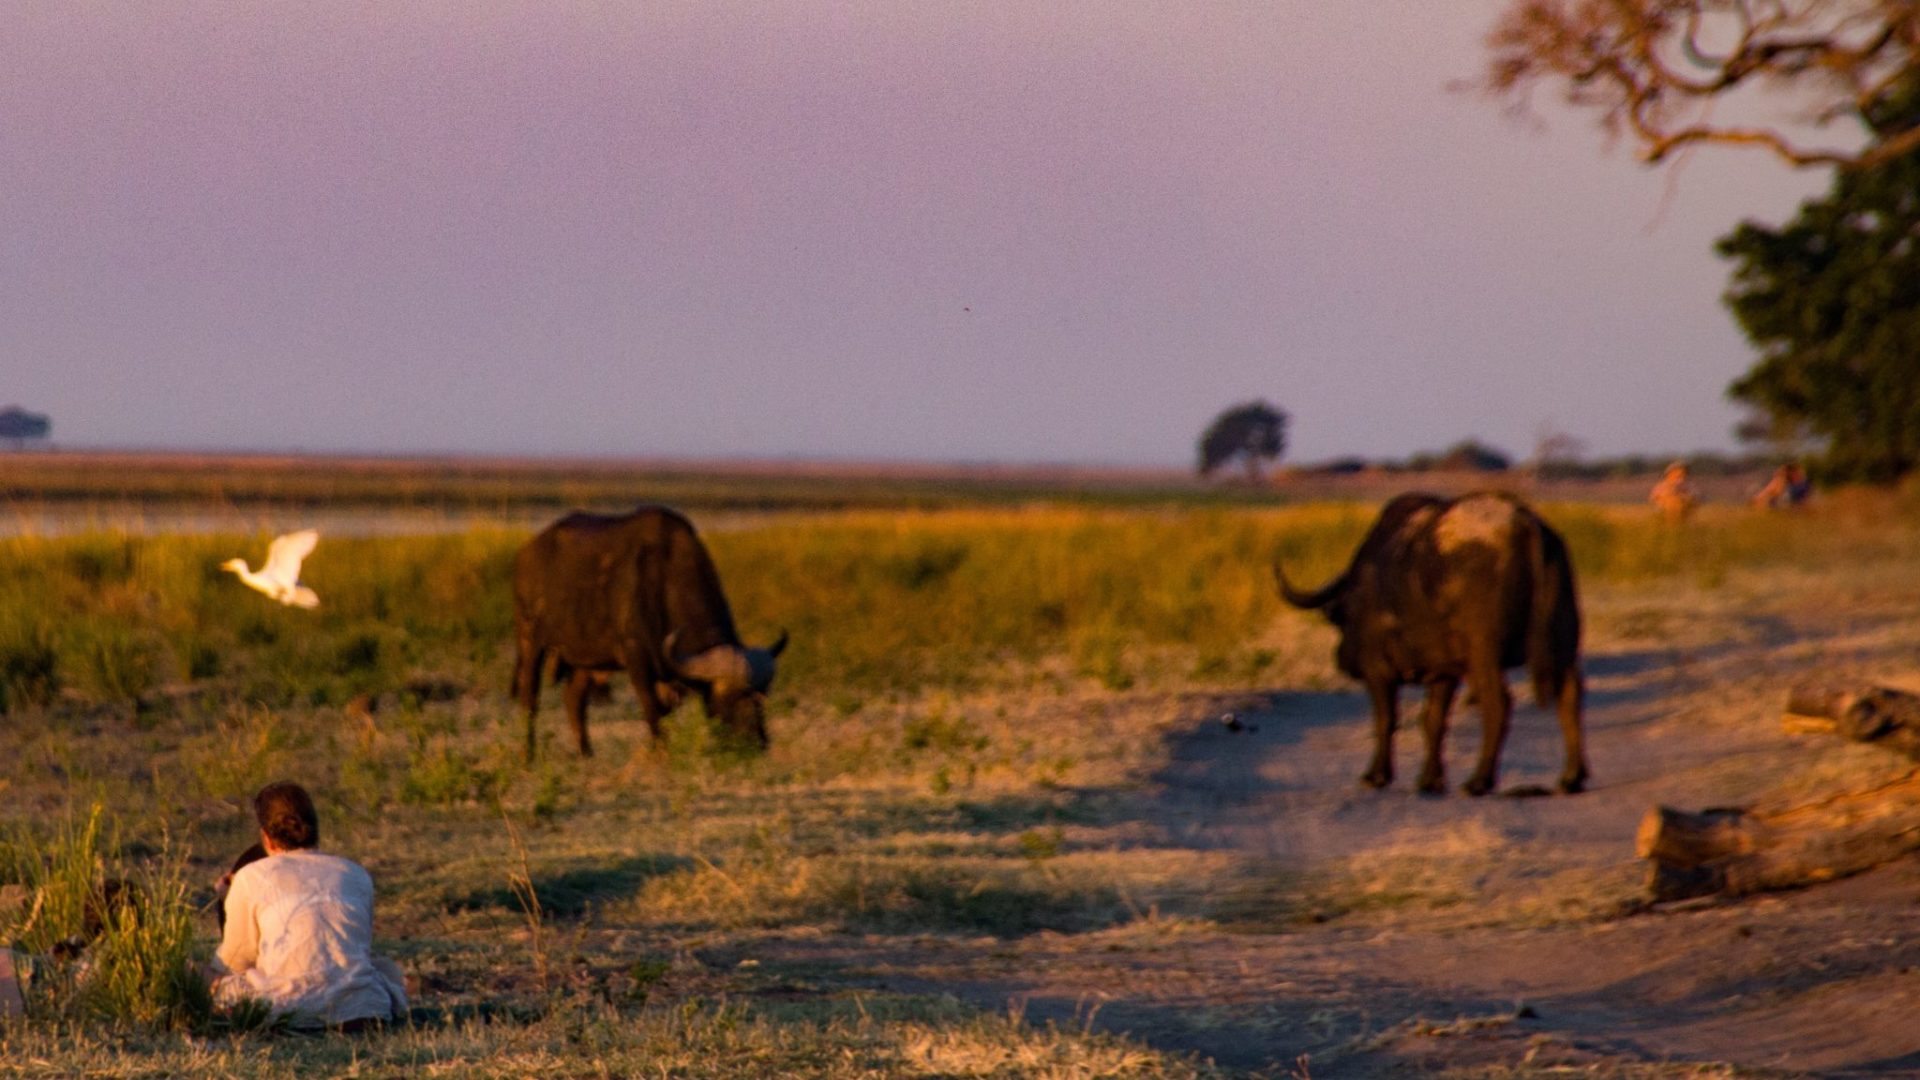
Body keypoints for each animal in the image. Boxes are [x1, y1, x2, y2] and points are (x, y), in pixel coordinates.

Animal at [511, 507, 787, 757]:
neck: (664, 580)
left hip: (587, 658)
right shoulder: (636, 657)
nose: (757, 743)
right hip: (530, 639)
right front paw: (659, 753)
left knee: (573, 699)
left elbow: (666, 710)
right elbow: (652, 708)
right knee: (529, 699)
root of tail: (526, 553)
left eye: (763, 696)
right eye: (730, 695)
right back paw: (528, 755)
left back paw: (585, 753)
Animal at [1274, 492, 1588, 796]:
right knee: (1570, 696)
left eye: (1340, 618)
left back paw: (1478, 781)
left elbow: (1386, 718)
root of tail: (1526, 526)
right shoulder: (1444, 673)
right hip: (1563, 646)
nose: (1342, 660)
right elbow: (1434, 721)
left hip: (1484, 655)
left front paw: (1376, 776)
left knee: (1498, 703)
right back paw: (1571, 778)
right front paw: (1430, 780)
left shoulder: (1379, 671)